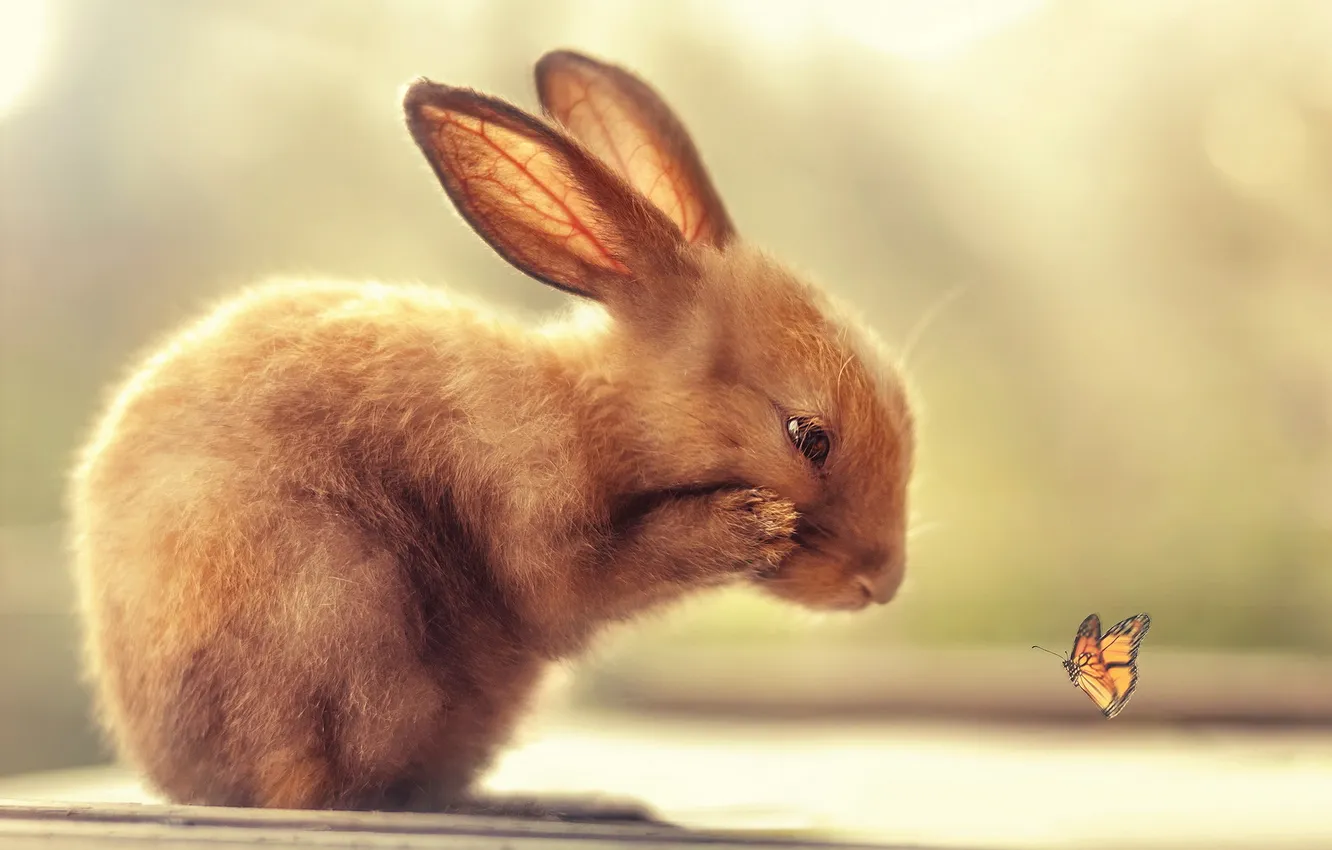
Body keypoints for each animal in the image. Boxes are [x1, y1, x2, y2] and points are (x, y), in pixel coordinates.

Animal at [68, 49, 916, 816]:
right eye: (808, 436)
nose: (883, 583)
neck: (594, 413)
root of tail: (176, 771)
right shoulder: (540, 535)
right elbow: (589, 575)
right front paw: (750, 524)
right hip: (338, 602)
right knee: (319, 792)